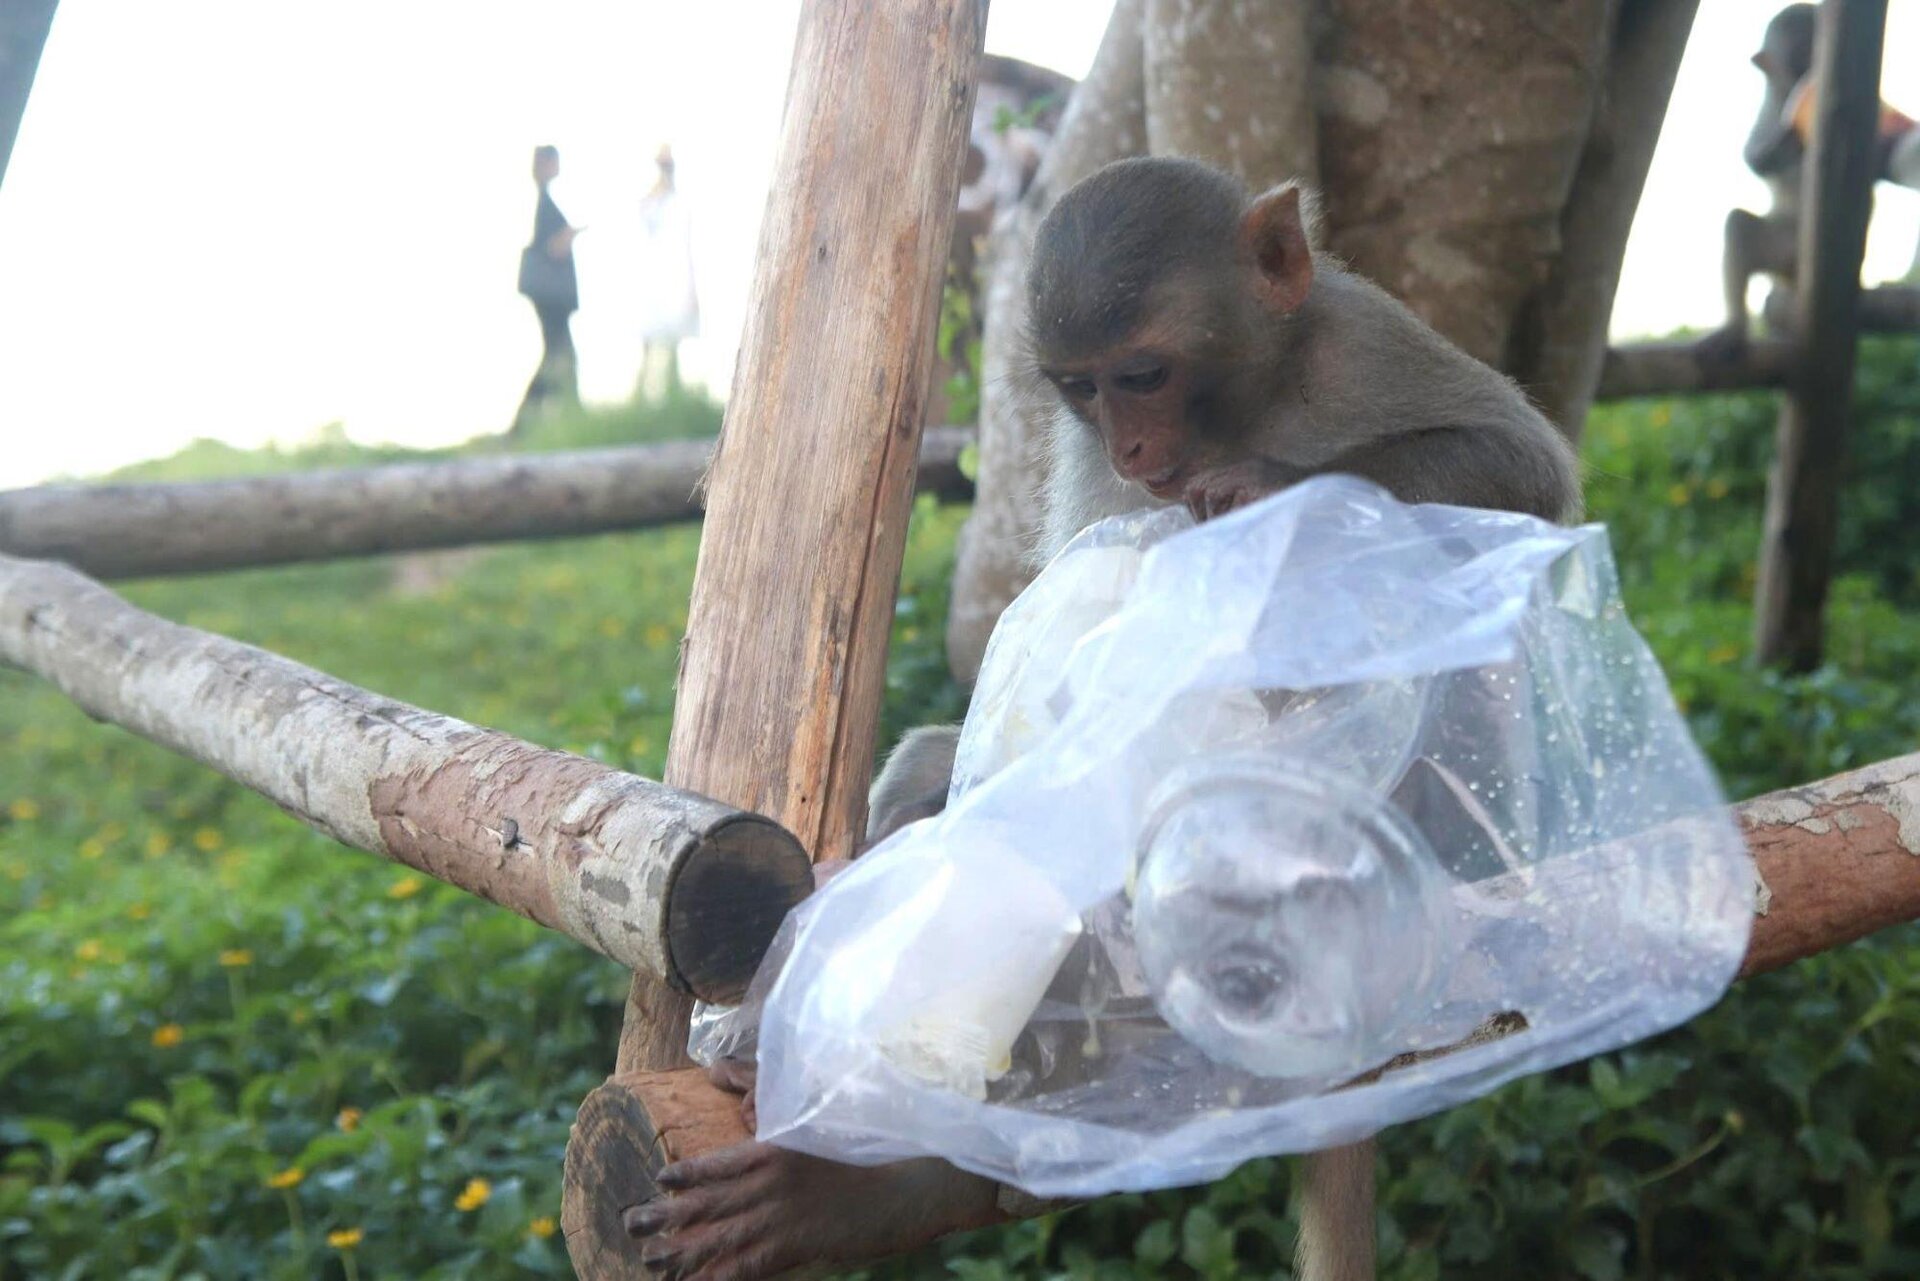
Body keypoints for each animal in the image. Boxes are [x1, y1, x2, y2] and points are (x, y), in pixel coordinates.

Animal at [622, 157, 1582, 1281]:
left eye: (1146, 374)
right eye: (1083, 388)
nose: (1129, 440)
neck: (1237, 409)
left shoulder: (1359, 343)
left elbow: (1523, 468)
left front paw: (1271, 495)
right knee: (947, 775)